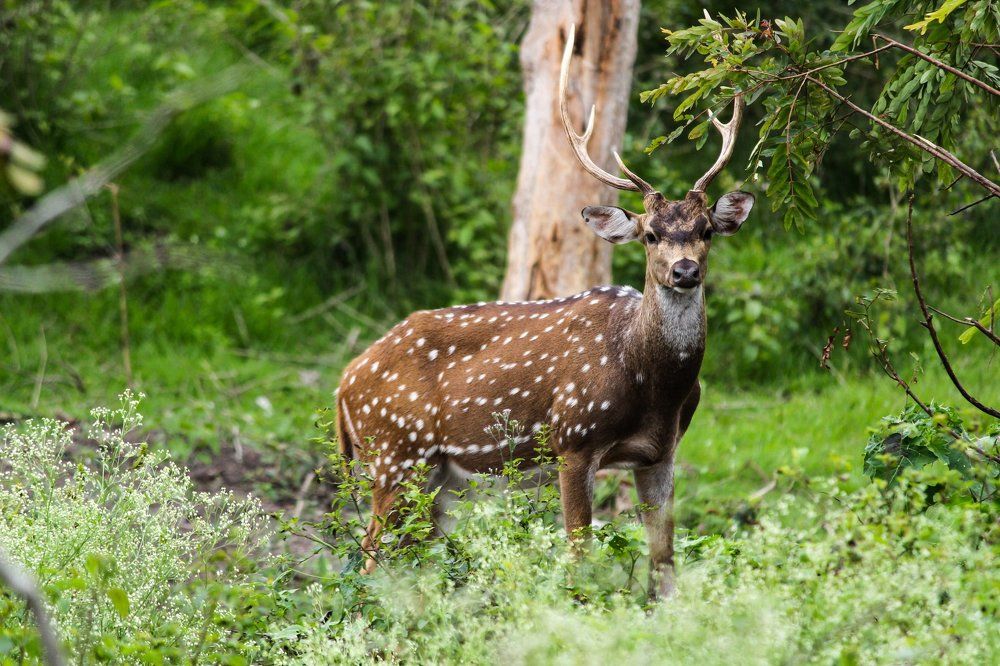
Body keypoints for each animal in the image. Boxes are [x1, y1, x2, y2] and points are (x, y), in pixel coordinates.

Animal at [334, 26, 753, 597]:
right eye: (650, 234)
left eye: (707, 229)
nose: (685, 271)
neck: (651, 381)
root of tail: (343, 384)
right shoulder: (573, 438)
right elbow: (579, 553)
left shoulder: (662, 451)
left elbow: (665, 564)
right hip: (397, 450)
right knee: (372, 555)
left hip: (437, 472)